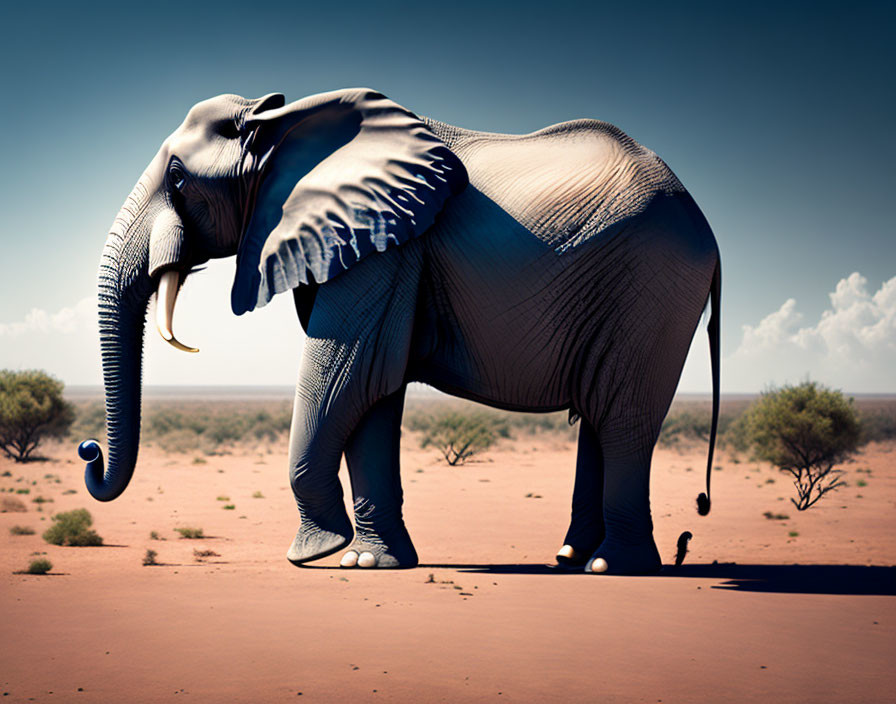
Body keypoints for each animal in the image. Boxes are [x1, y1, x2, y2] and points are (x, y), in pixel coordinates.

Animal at [79, 88, 720, 576]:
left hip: (653, 285)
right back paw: (569, 557)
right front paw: (368, 563)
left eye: (179, 179)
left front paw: (314, 554)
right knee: (598, 417)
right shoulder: (362, 245)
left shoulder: (386, 250)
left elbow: (347, 375)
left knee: (622, 417)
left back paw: (614, 567)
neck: (281, 125)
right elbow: (372, 393)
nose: (89, 451)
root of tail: (705, 227)